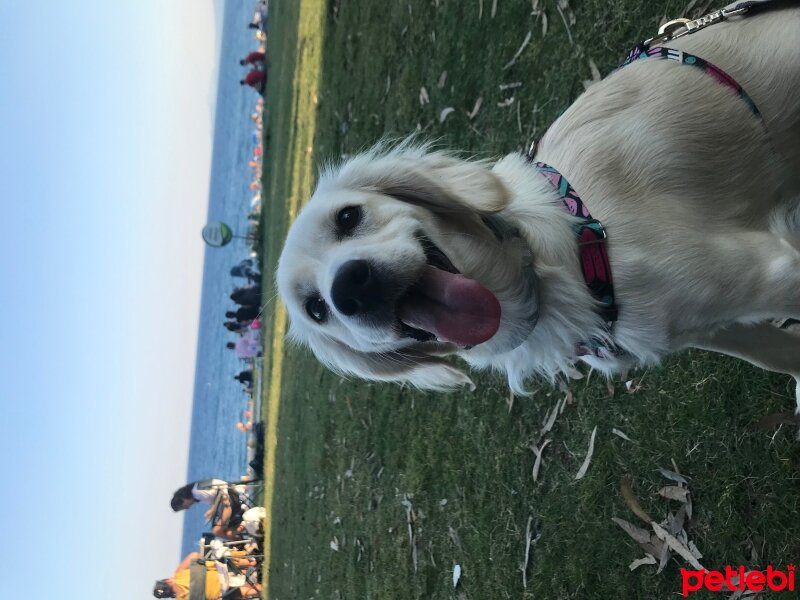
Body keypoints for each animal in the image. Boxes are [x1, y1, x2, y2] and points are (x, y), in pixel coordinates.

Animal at [276, 3, 800, 404]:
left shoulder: (770, 271)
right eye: (316, 309)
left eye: (348, 217)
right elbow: (780, 356)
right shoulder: (717, 325)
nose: (351, 288)